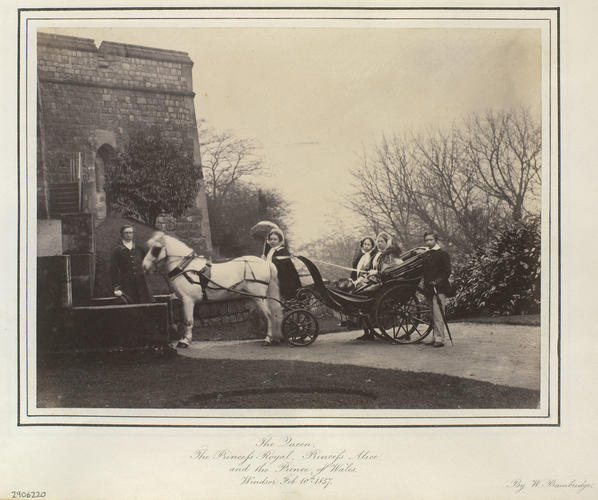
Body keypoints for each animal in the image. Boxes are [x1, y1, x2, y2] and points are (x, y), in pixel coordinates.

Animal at [145, 231, 286, 346]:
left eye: (156, 249)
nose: (145, 267)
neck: (186, 268)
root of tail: (266, 263)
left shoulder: (188, 300)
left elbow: (188, 321)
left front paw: (185, 341)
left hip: (259, 297)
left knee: (269, 314)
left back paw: (268, 339)